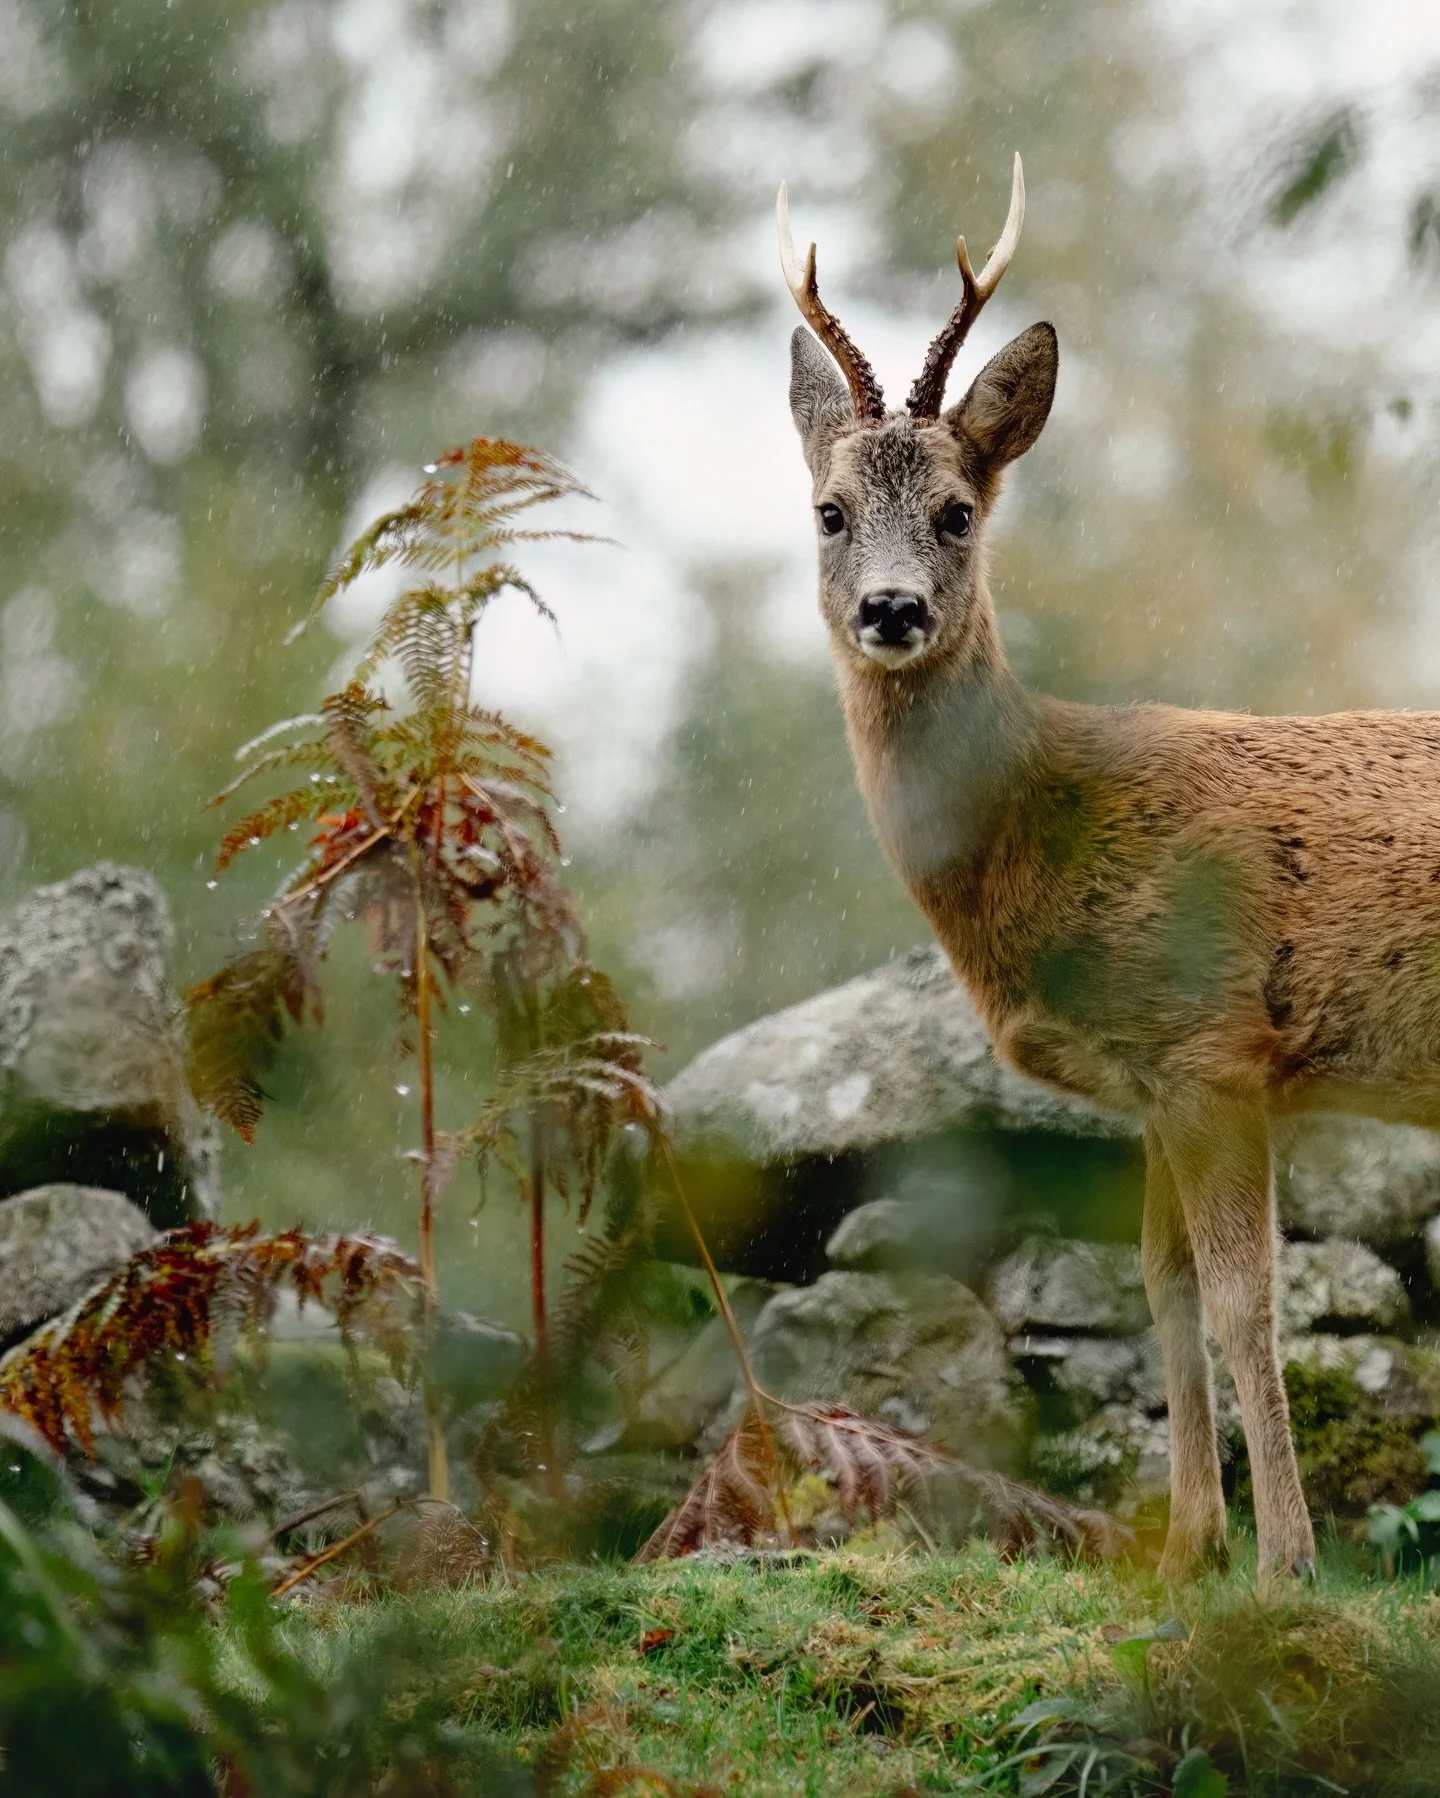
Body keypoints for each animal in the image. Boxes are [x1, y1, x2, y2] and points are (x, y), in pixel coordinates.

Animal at [776, 153, 1440, 1583]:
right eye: (829, 511)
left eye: (959, 512)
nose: (893, 610)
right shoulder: (1150, 1084)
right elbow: (1161, 1288)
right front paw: (1187, 1548)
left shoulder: (1214, 1043)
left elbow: (1249, 1301)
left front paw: (1286, 1564)